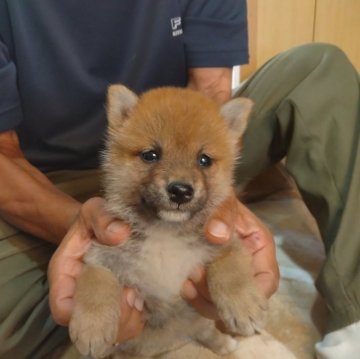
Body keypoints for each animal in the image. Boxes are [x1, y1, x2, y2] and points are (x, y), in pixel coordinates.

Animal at [69, 86, 268, 358]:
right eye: (151, 155)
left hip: (199, 323)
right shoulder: (103, 253)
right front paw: (91, 329)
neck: (166, 233)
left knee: (207, 332)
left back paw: (225, 343)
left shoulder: (224, 241)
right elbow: (95, 283)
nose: (181, 191)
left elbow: (231, 269)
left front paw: (244, 306)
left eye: (204, 160)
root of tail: (176, 338)